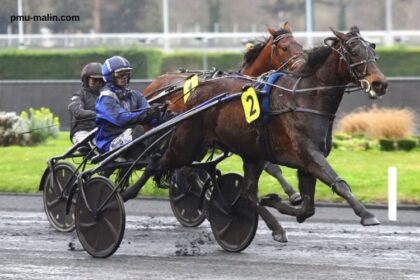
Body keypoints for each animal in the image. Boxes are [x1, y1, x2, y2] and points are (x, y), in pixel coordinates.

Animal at [140, 27, 388, 244]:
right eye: (353, 51)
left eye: (372, 50)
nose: (380, 83)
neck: (304, 97)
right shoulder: (308, 154)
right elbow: (338, 183)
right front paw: (366, 214)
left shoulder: (305, 162)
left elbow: (307, 207)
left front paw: (278, 200)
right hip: (188, 144)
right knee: (164, 164)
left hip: (245, 152)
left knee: (247, 192)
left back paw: (273, 226)